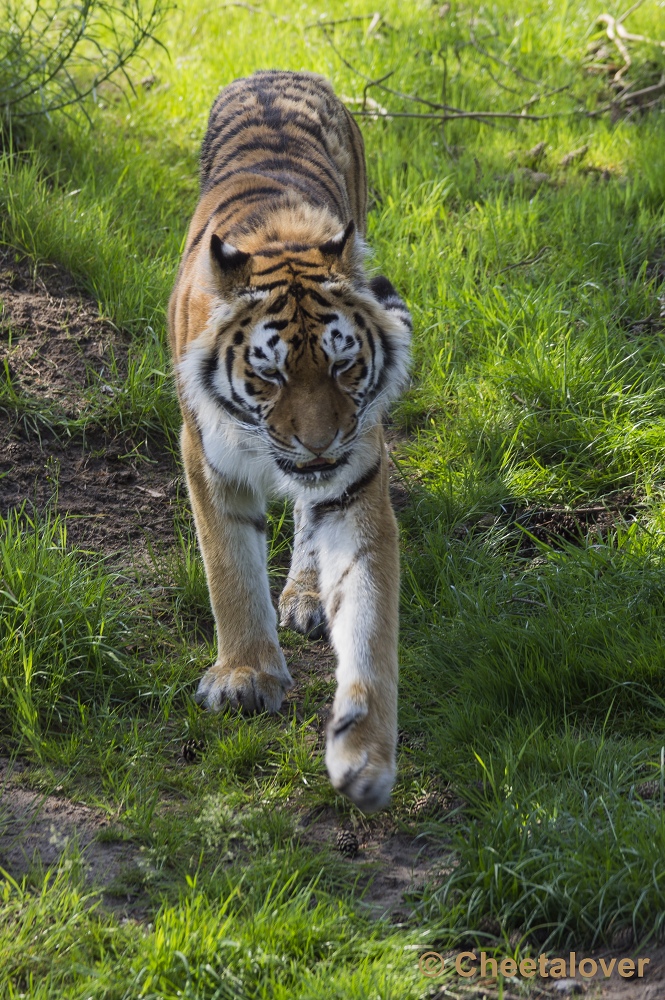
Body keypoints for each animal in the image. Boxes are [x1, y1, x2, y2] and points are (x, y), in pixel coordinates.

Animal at [167, 70, 410, 808]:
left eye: (343, 365)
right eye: (269, 374)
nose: (319, 444)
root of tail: (280, 71)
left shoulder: (357, 479)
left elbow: (370, 624)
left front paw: (364, 752)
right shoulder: (206, 459)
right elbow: (230, 572)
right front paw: (246, 676)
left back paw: (304, 593)